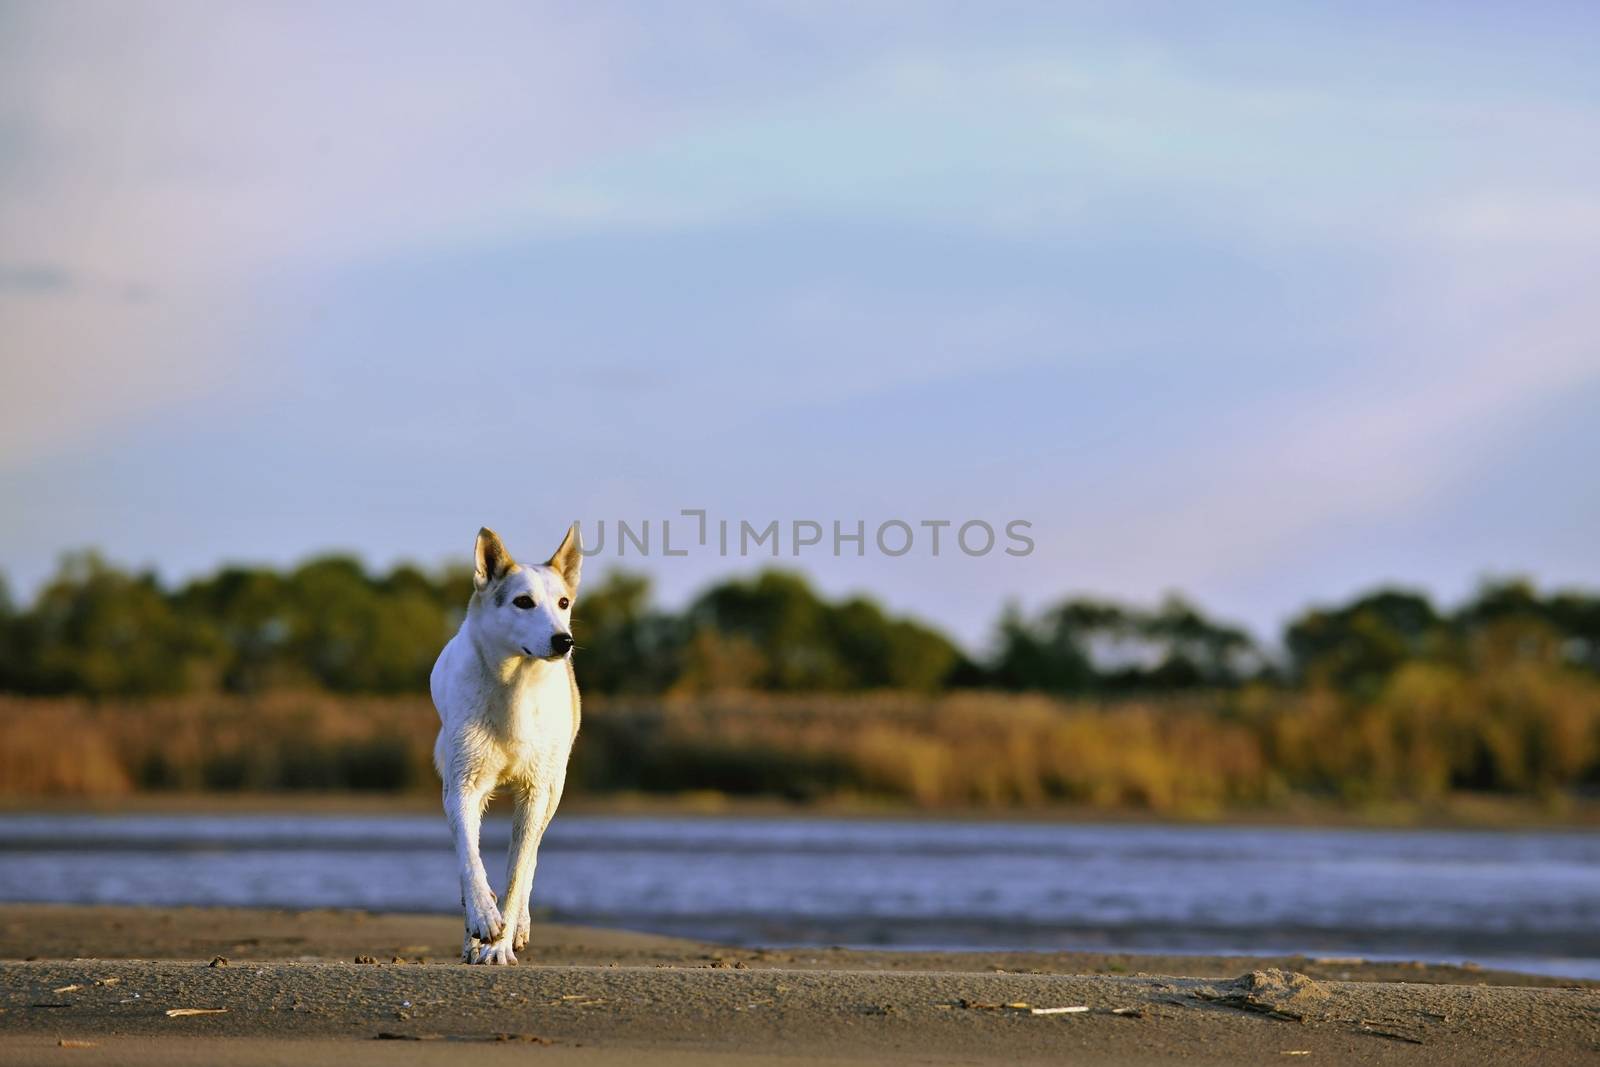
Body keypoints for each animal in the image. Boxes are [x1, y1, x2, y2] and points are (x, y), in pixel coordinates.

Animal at [432, 524, 582, 966]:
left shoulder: (536, 793)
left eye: (564, 602)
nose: (564, 640)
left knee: (529, 857)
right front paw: (483, 918)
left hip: (552, 789)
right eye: (523, 602)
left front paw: (500, 945)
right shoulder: (463, 787)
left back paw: (518, 929)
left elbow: (518, 871)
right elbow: (470, 859)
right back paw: (471, 936)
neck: (514, 686)